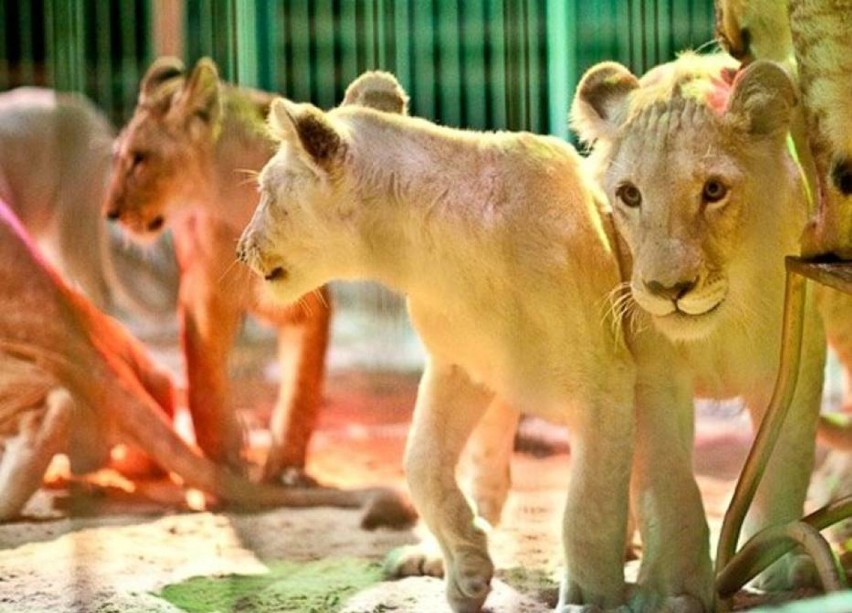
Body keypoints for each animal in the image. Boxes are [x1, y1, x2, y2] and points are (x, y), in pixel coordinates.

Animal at [236, 69, 636, 608]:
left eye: (264, 191)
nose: (241, 250)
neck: (429, 257)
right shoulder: (460, 365)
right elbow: (421, 463)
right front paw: (467, 569)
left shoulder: (605, 387)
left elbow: (588, 507)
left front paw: (589, 599)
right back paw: (430, 555)